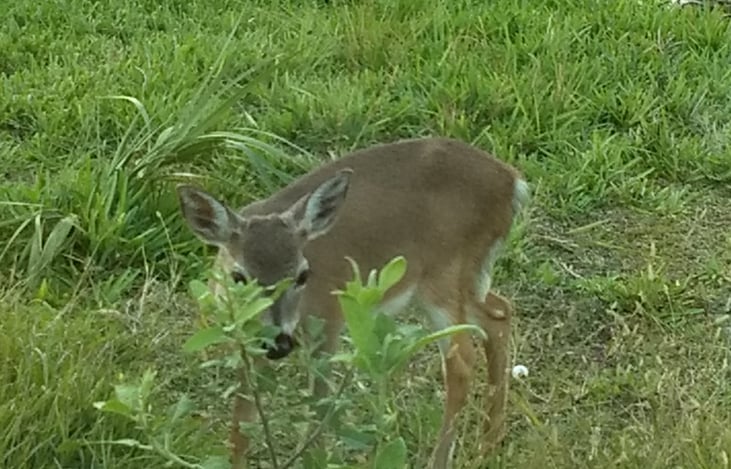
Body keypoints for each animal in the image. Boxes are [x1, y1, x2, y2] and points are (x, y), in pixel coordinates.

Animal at [176, 136, 529, 469]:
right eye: (239, 276)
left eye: (303, 275)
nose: (280, 344)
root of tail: (513, 182)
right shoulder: (247, 341)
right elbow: (242, 422)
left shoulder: (328, 321)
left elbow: (318, 409)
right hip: (461, 278)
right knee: (500, 313)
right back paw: (488, 448)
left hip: (444, 272)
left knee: (462, 360)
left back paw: (444, 459)